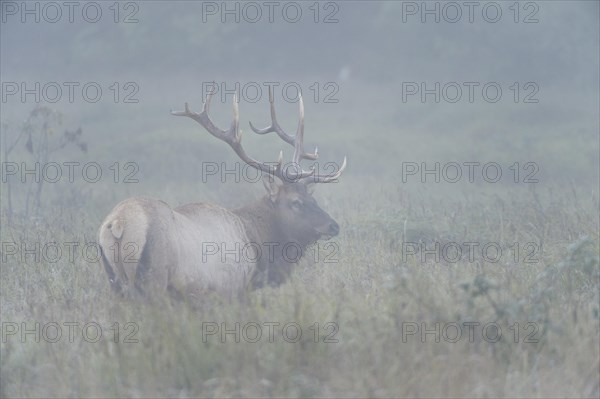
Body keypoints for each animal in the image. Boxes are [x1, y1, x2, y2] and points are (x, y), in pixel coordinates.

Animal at [96, 88, 344, 300]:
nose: (334, 225)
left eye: (313, 198)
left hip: (115, 283)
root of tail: (118, 223)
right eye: (296, 202)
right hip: (154, 278)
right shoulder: (231, 290)